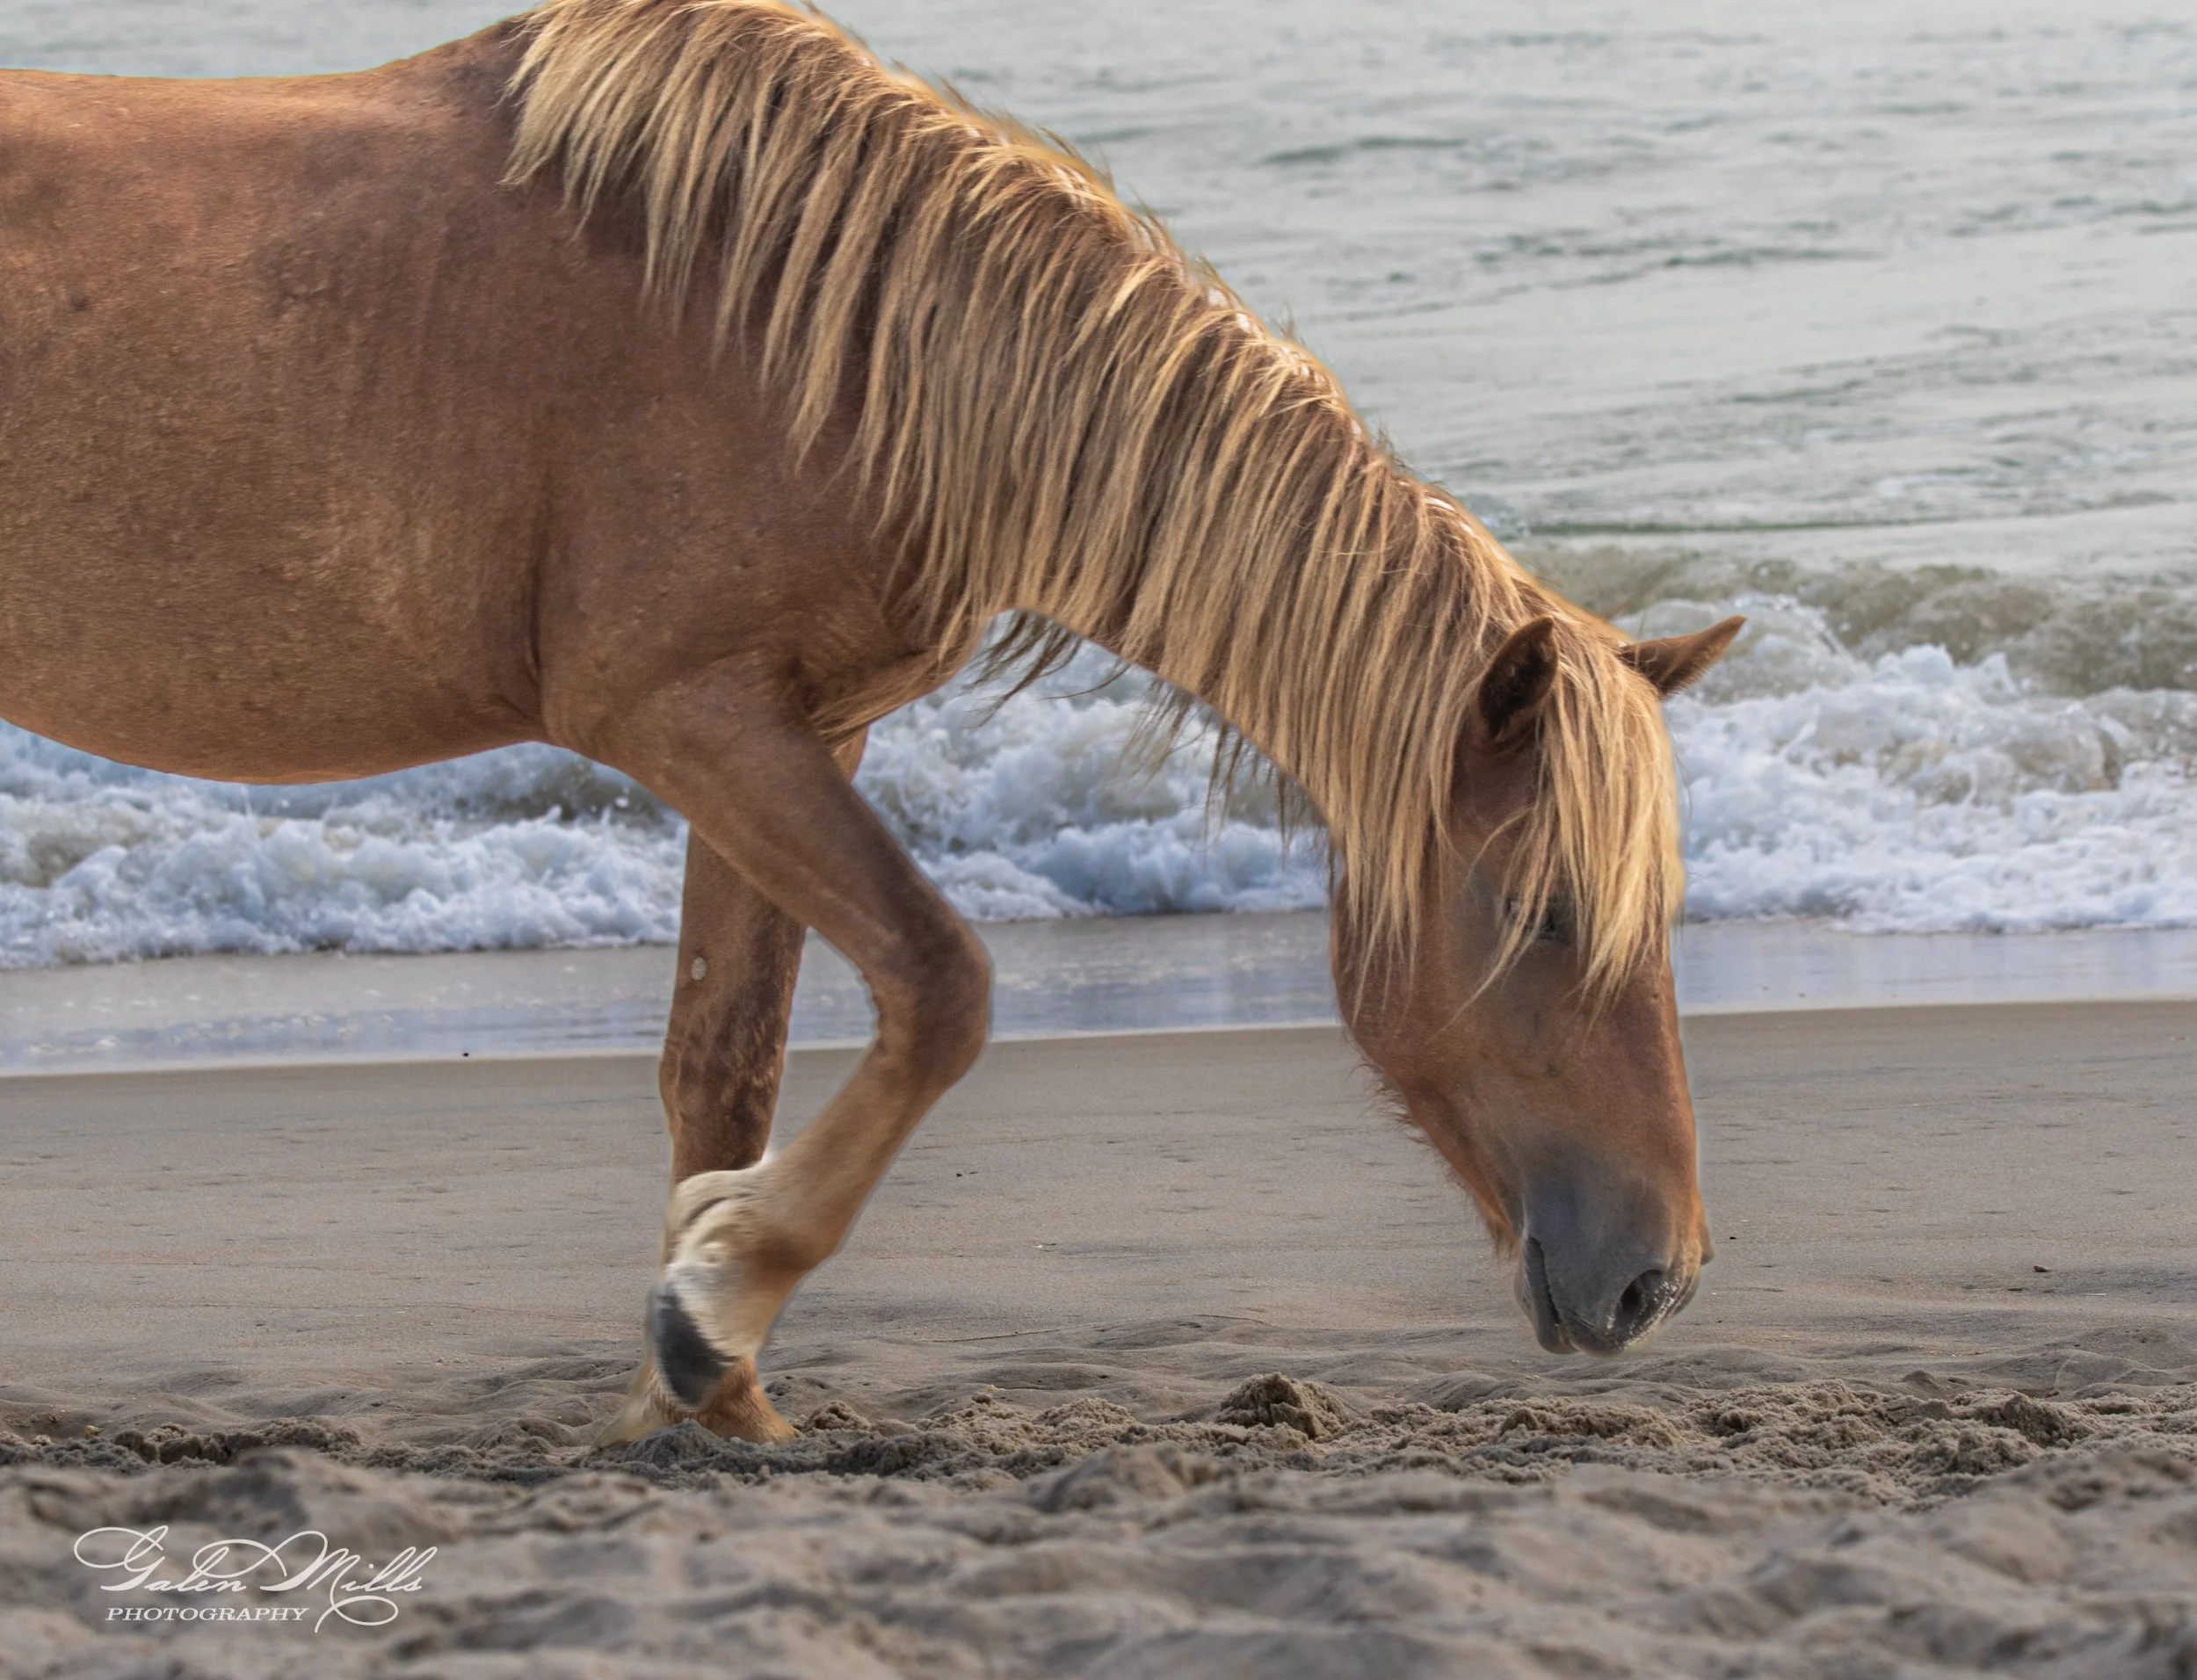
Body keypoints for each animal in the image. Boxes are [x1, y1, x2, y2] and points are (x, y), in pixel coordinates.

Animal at [0, 0, 1741, 1444]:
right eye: (1539, 908)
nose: (1658, 1275)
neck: (798, 329)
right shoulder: (692, 718)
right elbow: (943, 983)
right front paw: (718, 1307)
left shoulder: (794, 735)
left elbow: (726, 1070)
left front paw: (702, 1389)